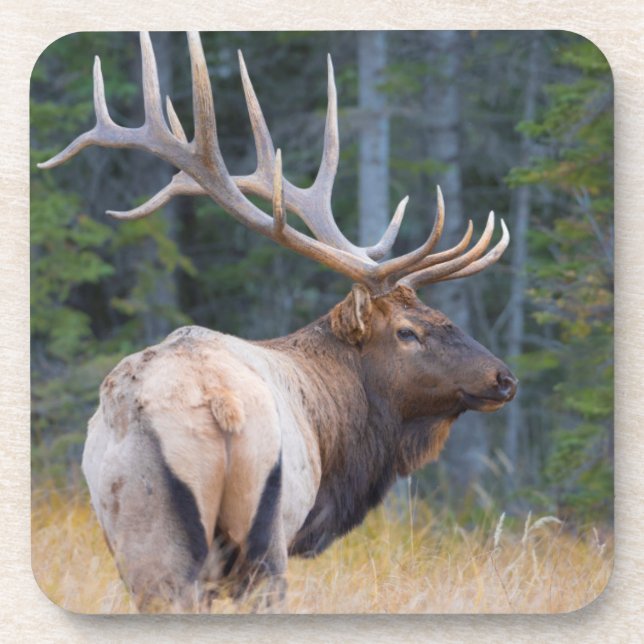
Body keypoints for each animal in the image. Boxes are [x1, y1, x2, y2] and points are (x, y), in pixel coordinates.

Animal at [38, 32, 518, 612]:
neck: (337, 439)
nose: (503, 378)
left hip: (163, 541)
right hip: (244, 537)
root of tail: (217, 404)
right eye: (408, 331)